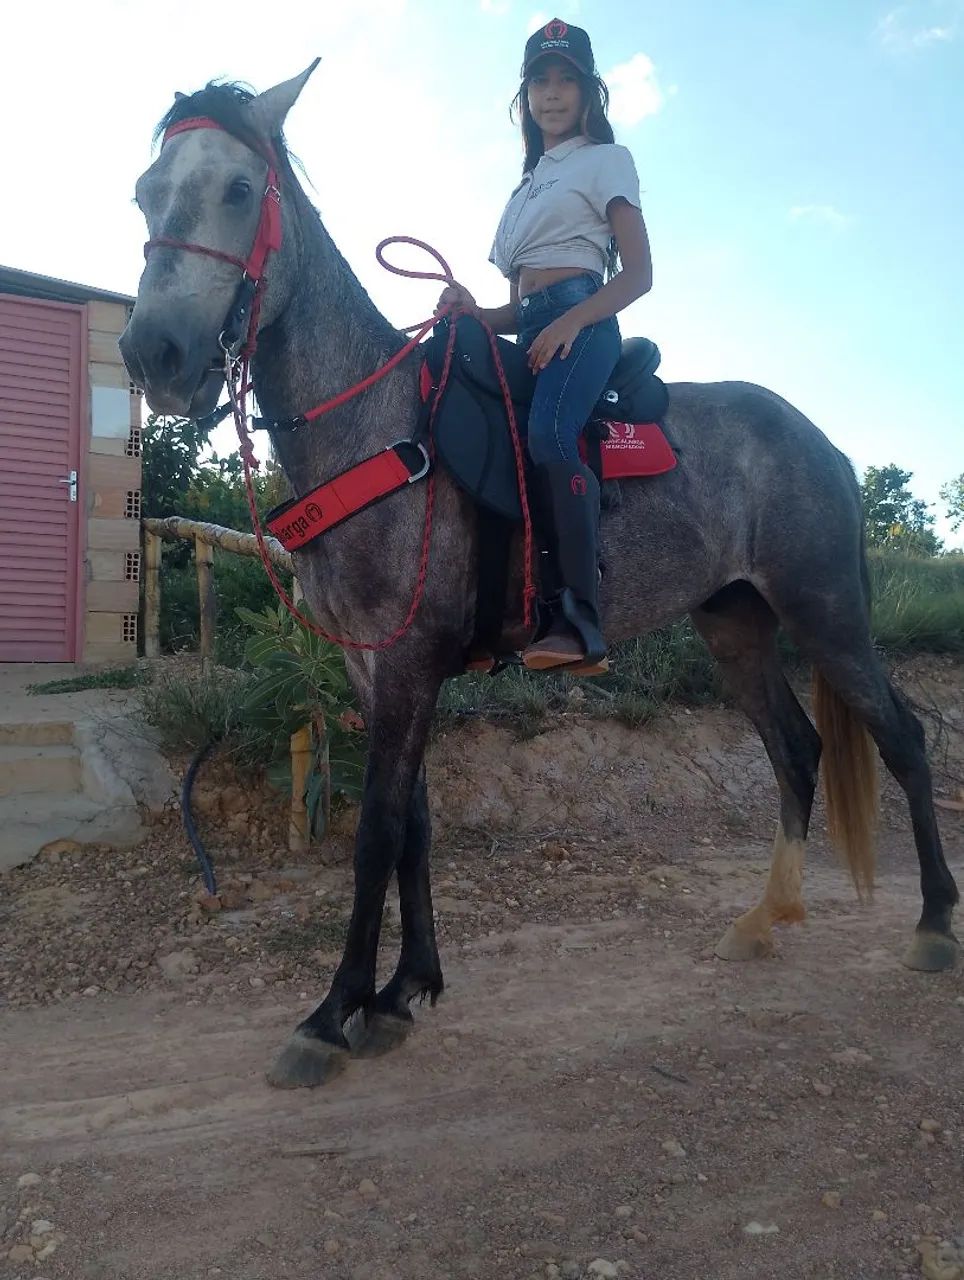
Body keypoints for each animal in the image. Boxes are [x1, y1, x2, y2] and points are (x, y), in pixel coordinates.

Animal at [120, 63, 959, 1089]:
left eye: (240, 190)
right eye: (145, 193)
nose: (155, 353)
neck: (379, 424)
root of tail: (825, 444)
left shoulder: (408, 667)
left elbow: (375, 833)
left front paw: (332, 1013)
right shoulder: (376, 667)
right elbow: (415, 826)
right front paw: (404, 991)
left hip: (827, 614)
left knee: (901, 739)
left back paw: (932, 924)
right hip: (736, 625)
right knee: (796, 751)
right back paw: (764, 919)